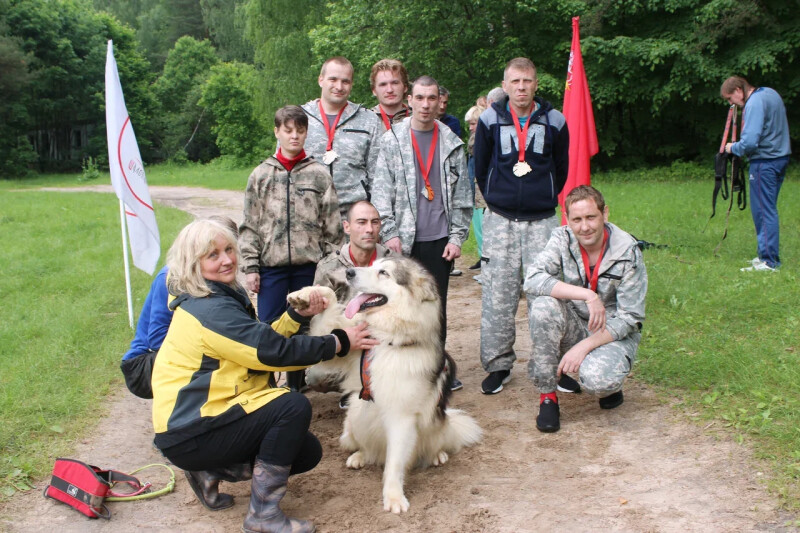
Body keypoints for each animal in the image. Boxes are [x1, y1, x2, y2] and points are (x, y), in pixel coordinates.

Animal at [290, 256, 484, 512]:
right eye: (371, 265)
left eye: (384, 272)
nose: (349, 273)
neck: (384, 336)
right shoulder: (343, 348)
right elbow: (330, 316)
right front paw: (305, 297)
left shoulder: (401, 417)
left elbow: (394, 463)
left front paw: (393, 497)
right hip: (353, 420)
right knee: (367, 448)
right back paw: (360, 456)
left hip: (435, 423)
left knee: (432, 445)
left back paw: (437, 455)